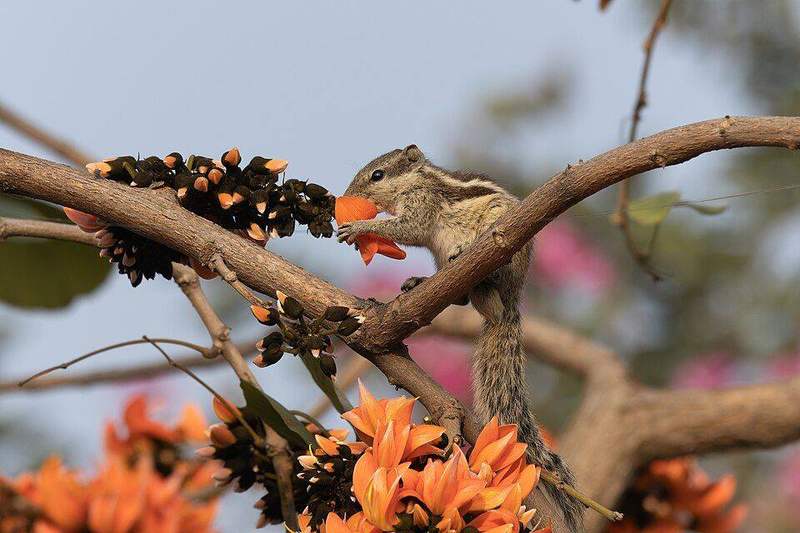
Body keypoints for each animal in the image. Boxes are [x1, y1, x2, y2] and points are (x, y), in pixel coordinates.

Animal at [338, 144, 583, 531]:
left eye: (377, 175)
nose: (349, 195)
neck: (416, 180)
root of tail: (510, 301)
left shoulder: (420, 205)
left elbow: (406, 227)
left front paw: (360, 226)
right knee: (463, 299)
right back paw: (420, 281)